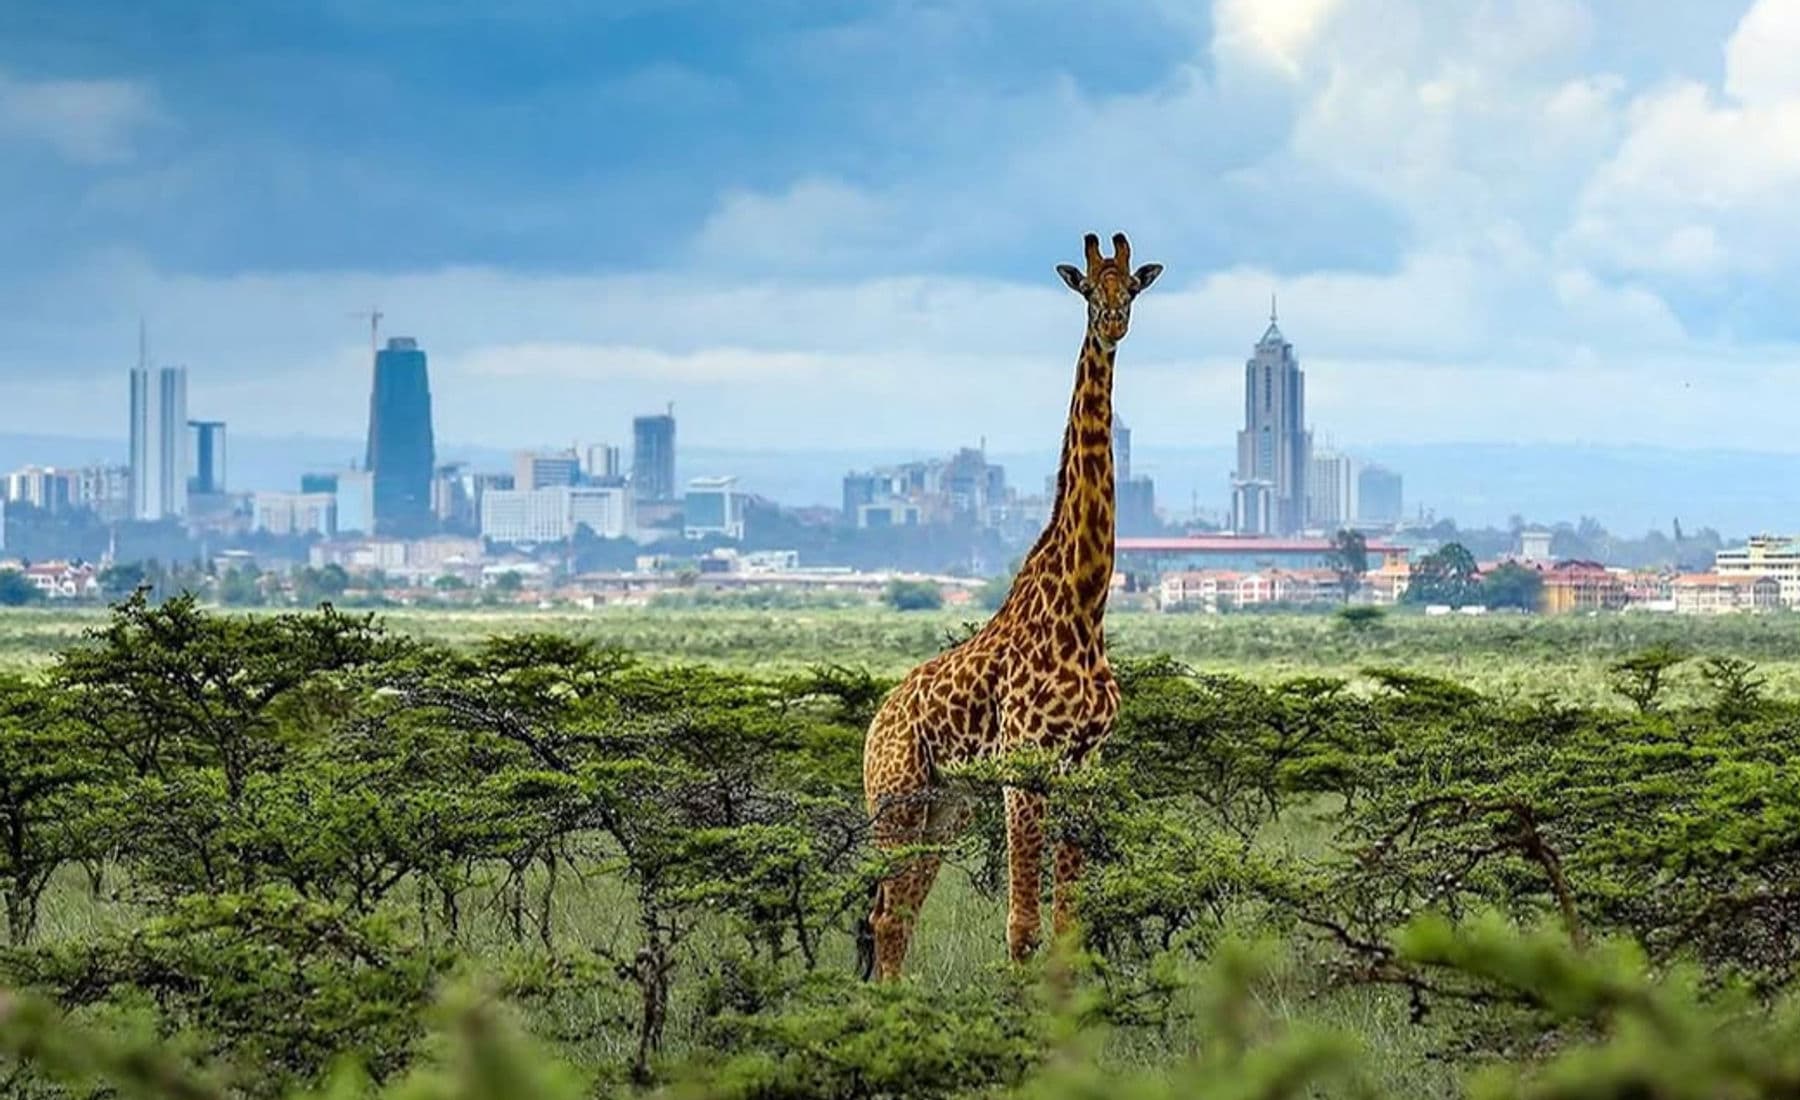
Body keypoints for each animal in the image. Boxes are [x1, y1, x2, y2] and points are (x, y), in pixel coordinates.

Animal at [860, 231, 1162, 981]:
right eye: (1087, 287)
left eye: (1132, 287)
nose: (1113, 323)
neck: (1083, 604)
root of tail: (875, 722)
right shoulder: (1023, 766)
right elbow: (1022, 928)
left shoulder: (1083, 767)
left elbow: (1066, 928)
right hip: (896, 798)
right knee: (884, 914)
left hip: (947, 805)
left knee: (899, 914)